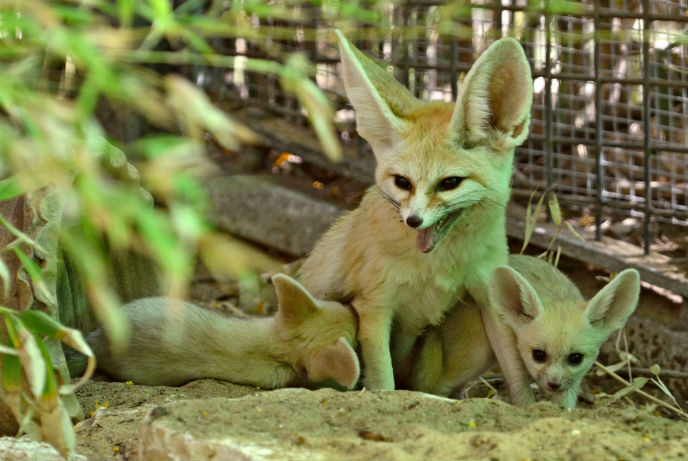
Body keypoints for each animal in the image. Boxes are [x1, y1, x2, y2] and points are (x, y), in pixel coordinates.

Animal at [297, 31, 533, 389]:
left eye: (450, 182)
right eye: (402, 182)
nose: (413, 220)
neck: (438, 267)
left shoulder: (490, 295)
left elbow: (517, 374)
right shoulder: (374, 305)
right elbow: (383, 382)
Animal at [400, 254, 640, 408]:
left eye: (576, 358)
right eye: (538, 355)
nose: (553, 384)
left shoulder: (574, 378)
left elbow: (566, 401)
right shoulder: (500, 330)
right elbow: (518, 382)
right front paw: (527, 409)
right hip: (477, 354)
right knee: (438, 384)